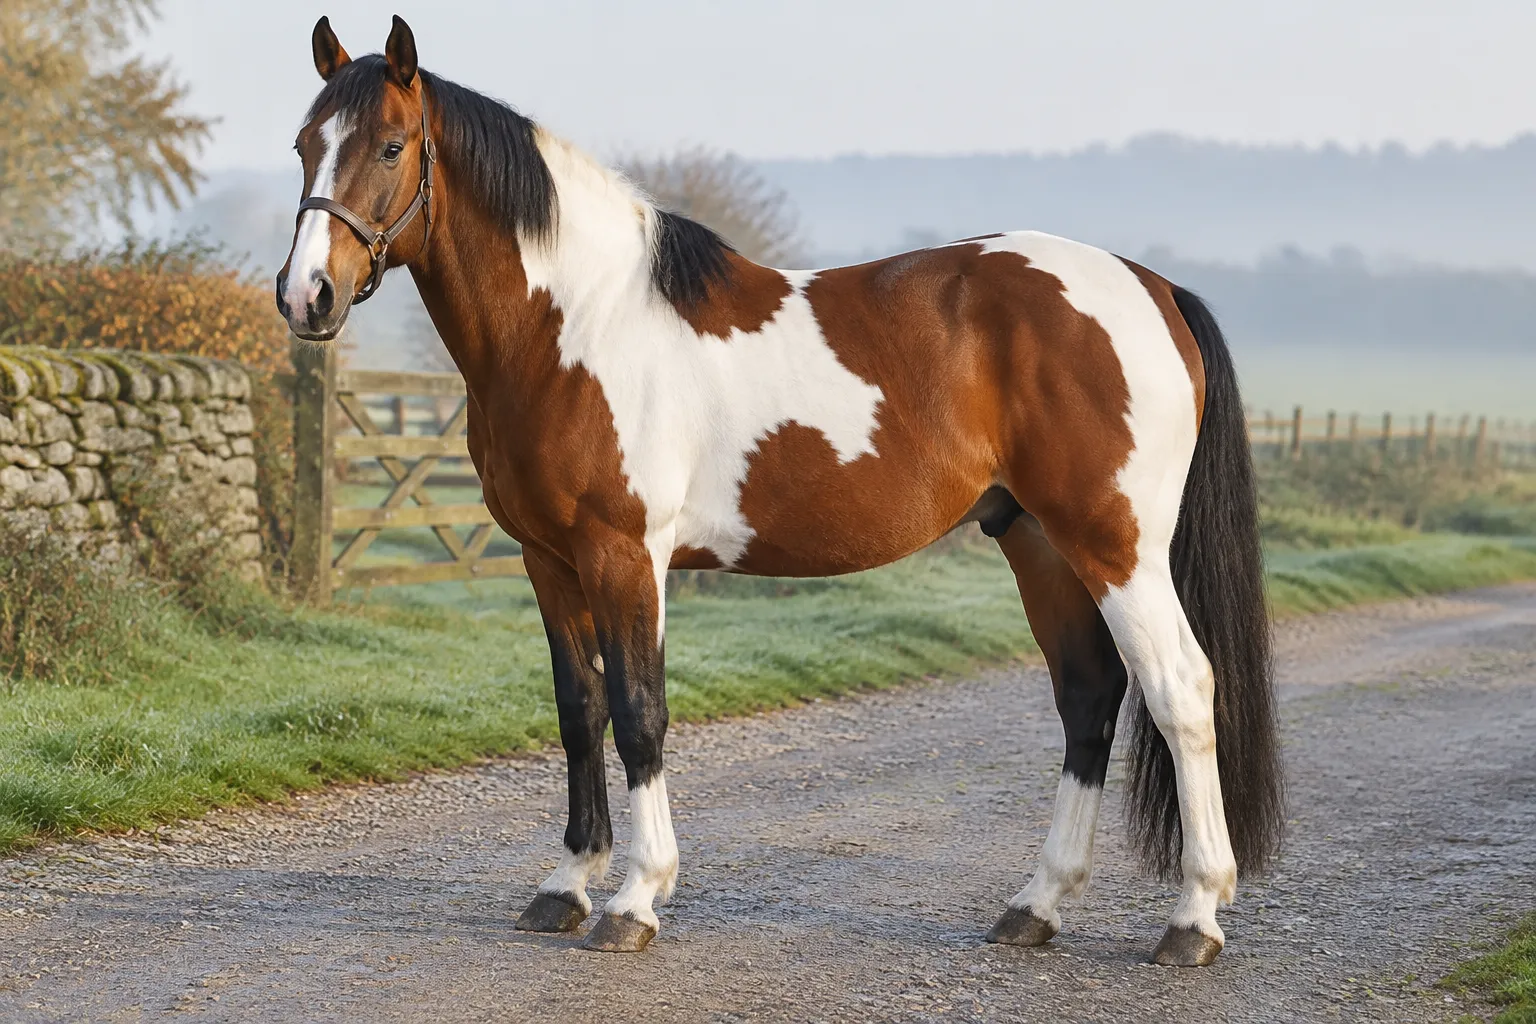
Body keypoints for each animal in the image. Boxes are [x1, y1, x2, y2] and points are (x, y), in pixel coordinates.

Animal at [277, 15, 1283, 966]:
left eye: (392, 146)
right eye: (302, 144)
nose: (306, 296)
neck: (575, 325)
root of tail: (1153, 288)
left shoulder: (624, 553)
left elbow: (640, 713)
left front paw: (635, 900)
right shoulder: (548, 559)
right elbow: (579, 710)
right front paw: (565, 888)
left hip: (1116, 545)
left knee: (1180, 688)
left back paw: (1193, 919)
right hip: (1037, 539)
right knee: (1088, 695)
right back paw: (1034, 907)